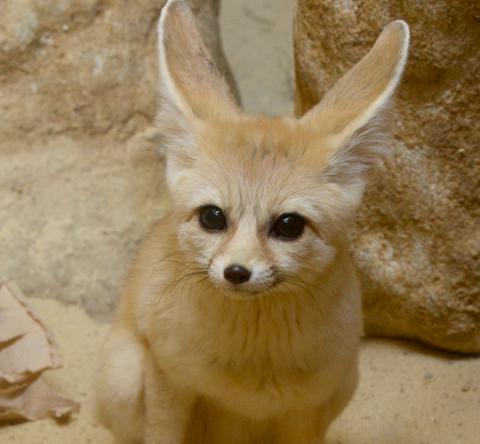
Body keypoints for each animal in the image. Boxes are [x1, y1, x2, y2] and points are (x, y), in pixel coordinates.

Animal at [96, 1, 408, 442]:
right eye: (212, 217)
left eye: (289, 226)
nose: (237, 272)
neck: (253, 357)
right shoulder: (168, 377)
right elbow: (162, 432)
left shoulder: (308, 407)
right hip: (124, 377)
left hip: (347, 382)